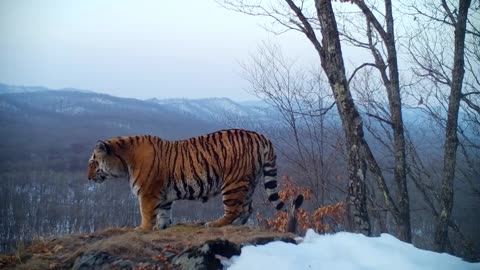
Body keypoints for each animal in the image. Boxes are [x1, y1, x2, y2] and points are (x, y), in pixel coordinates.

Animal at [86, 129, 300, 230]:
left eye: (93, 162)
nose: (88, 177)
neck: (125, 162)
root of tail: (261, 136)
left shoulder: (148, 193)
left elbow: (146, 213)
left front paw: (142, 229)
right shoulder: (163, 195)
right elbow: (164, 213)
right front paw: (161, 227)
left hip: (233, 183)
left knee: (235, 209)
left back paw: (214, 224)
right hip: (249, 182)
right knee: (247, 209)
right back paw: (237, 225)